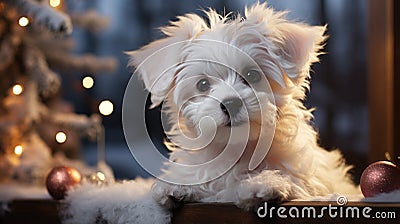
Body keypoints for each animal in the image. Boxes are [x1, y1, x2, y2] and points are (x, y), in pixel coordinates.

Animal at [129, 2, 360, 210]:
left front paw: (264, 184)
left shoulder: (310, 180)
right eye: (202, 84)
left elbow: (295, 182)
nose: (231, 103)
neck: (237, 149)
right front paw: (178, 186)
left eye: (253, 75)